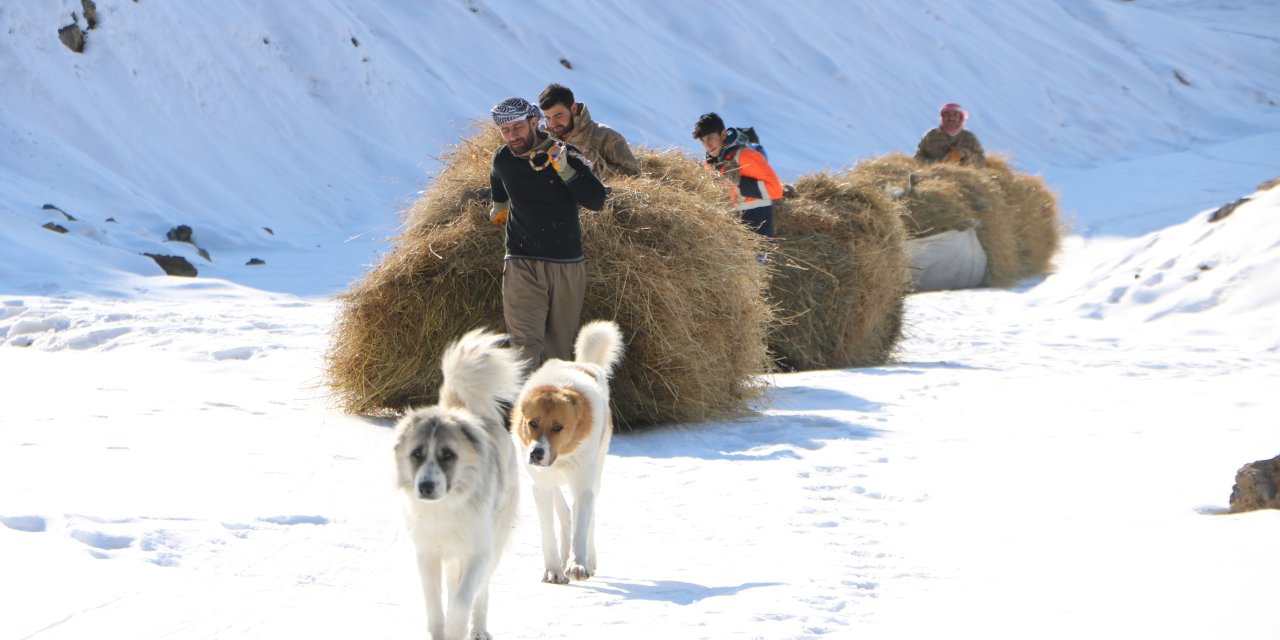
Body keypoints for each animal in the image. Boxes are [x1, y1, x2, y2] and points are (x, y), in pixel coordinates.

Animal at [394, 330, 524, 640]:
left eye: (448, 455)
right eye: (417, 454)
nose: (426, 486)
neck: (446, 507)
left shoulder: (477, 552)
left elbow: (462, 600)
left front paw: (457, 628)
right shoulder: (427, 554)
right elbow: (434, 604)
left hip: (494, 544)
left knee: (480, 592)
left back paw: (477, 630)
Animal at [512, 320, 627, 586]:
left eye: (558, 427)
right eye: (532, 423)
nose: (536, 453)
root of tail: (584, 364)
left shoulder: (583, 485)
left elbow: (581, 527)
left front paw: (578, 564)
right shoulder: (540, 486)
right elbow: (549, 531)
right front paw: (554, 569)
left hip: (596, 473)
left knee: (587, 516)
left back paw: (588, 561)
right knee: (564, 513)